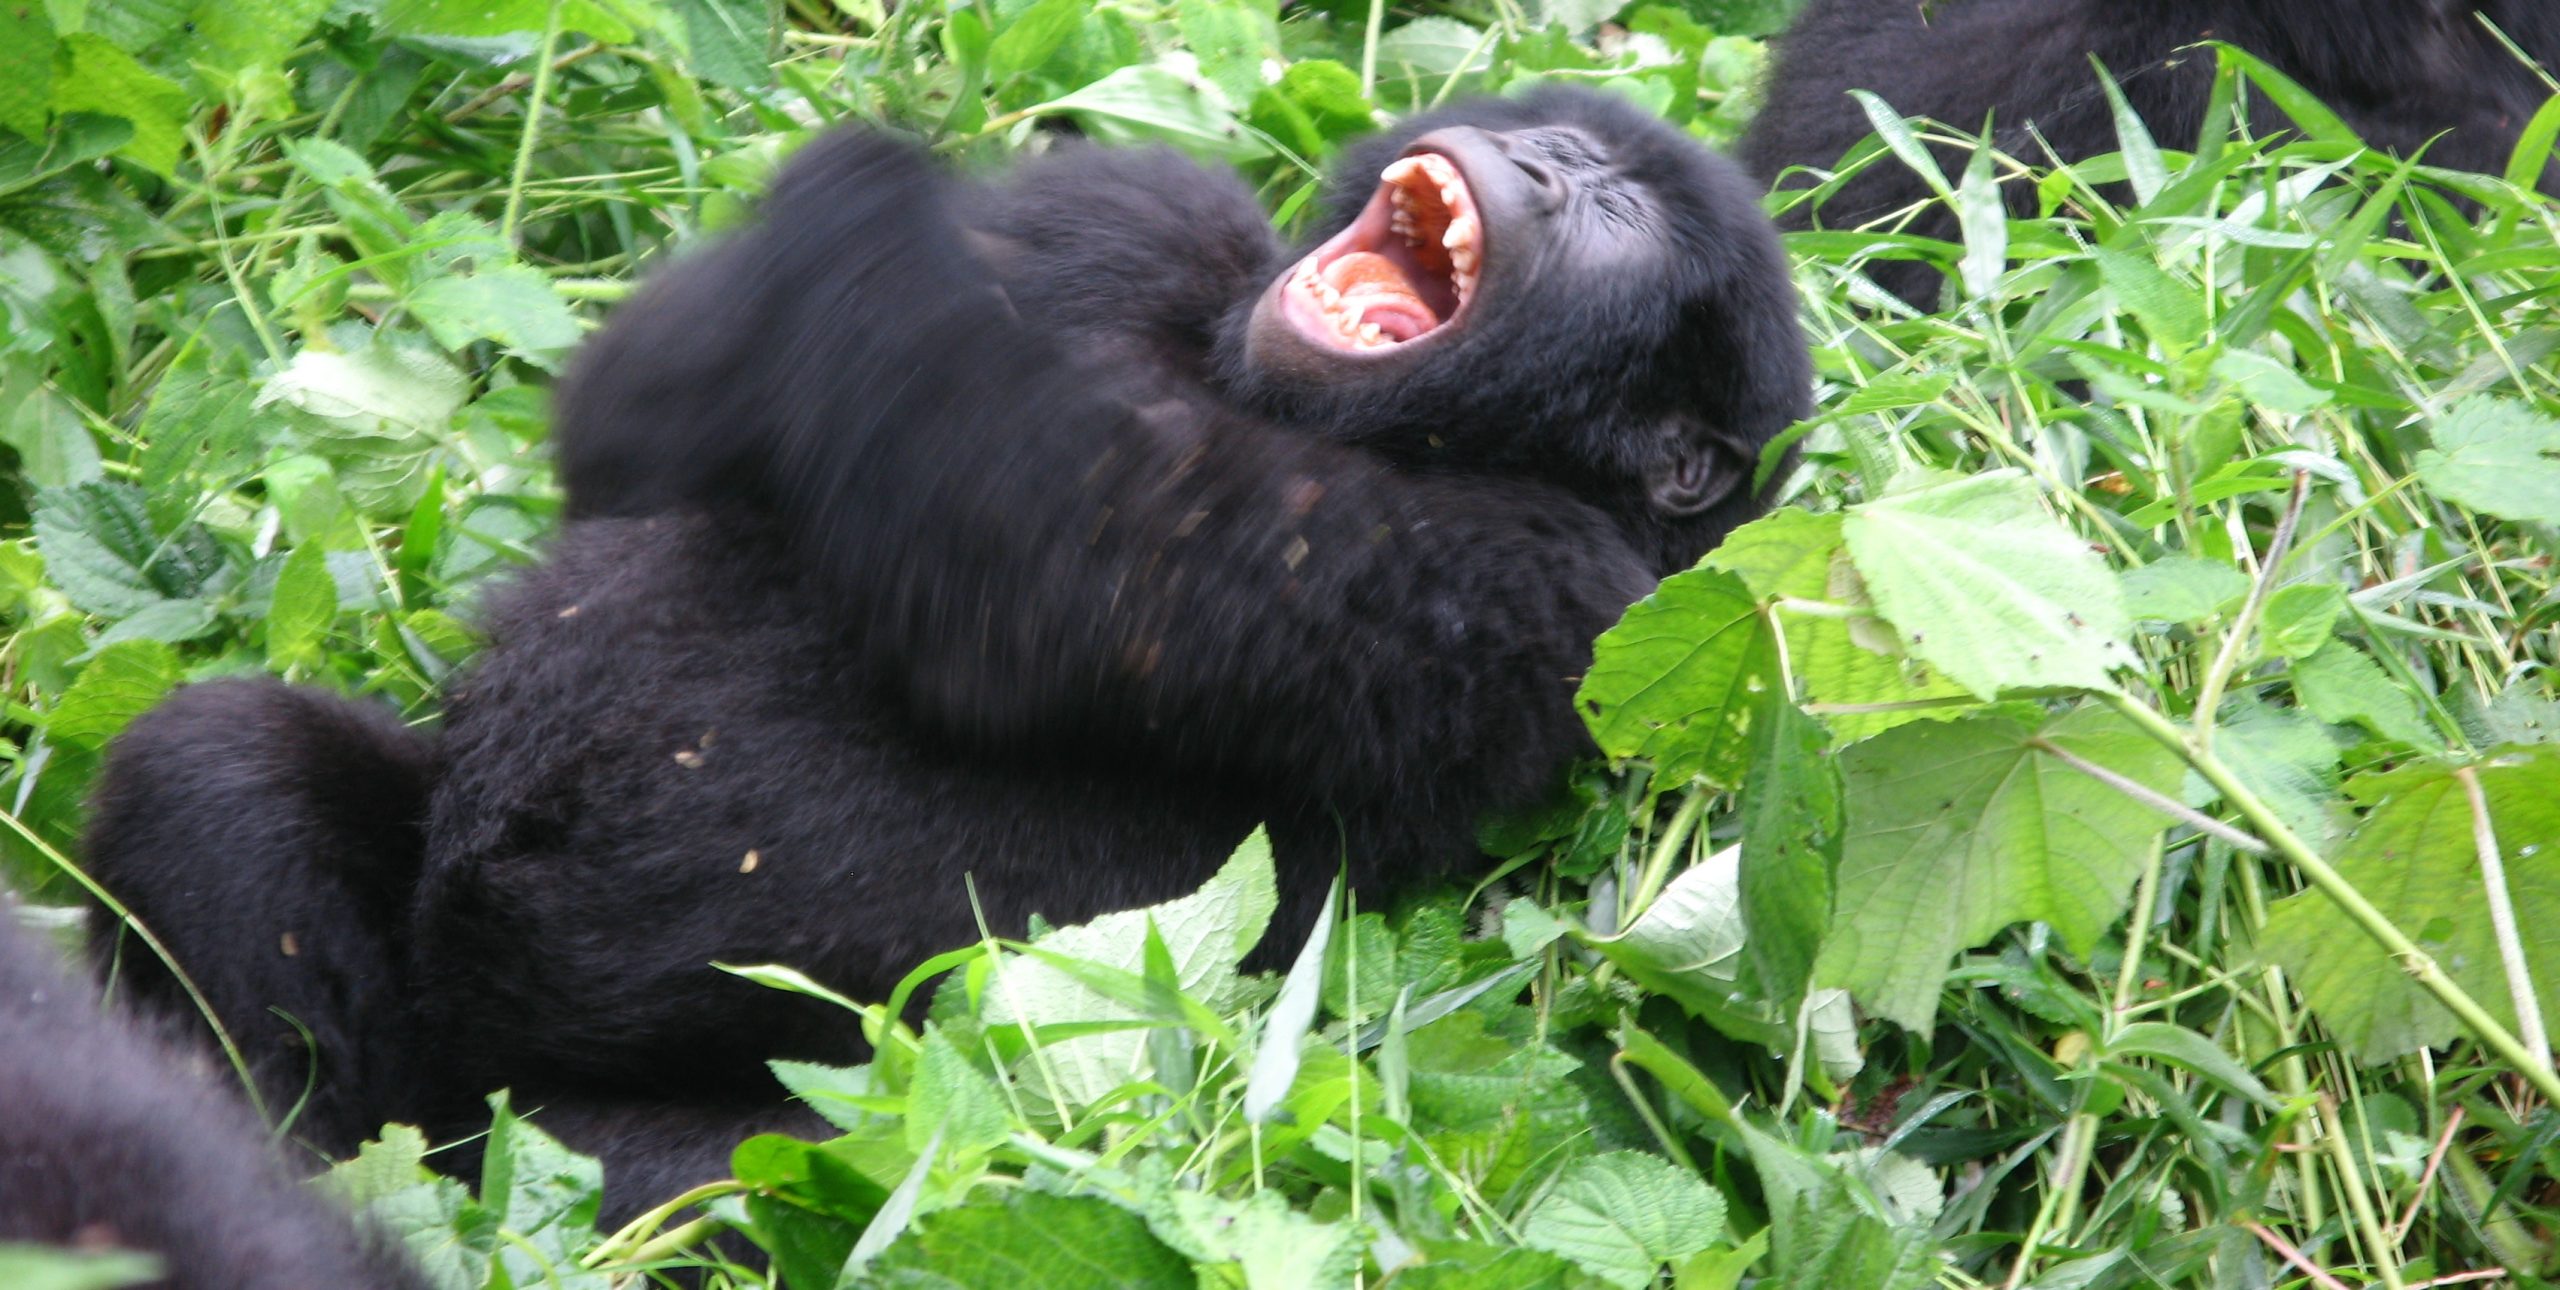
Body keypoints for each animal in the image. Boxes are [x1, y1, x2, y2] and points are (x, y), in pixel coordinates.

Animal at [74, 88, 1802, 1218]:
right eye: (1566, 144)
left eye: (1621, 211)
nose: (1538, 164)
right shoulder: (1149, 220)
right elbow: (631, 432)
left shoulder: (1551, 591)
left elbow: (1036, 545)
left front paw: (858, 199)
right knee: (215, 772)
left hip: (715, 1141)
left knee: (714, 1196)